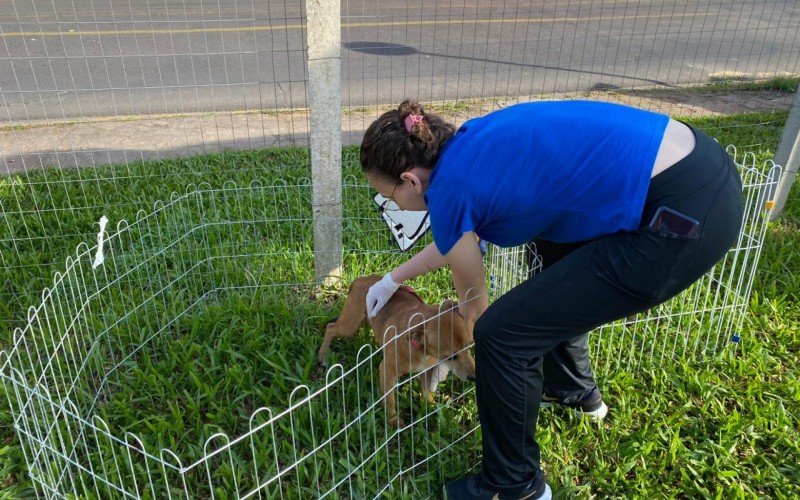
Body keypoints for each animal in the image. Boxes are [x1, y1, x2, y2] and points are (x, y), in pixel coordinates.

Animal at [316, 276, 476, 428]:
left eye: (469, 346)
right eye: (451, 356)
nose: (473, 377)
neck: (420, 350)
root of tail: (361, 279)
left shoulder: (428, 370)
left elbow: (427, 392)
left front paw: (430, 408)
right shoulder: (387, 372)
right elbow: (390, 400)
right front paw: (394, 421)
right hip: (350, 325)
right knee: (330, 328)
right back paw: (322, 356)